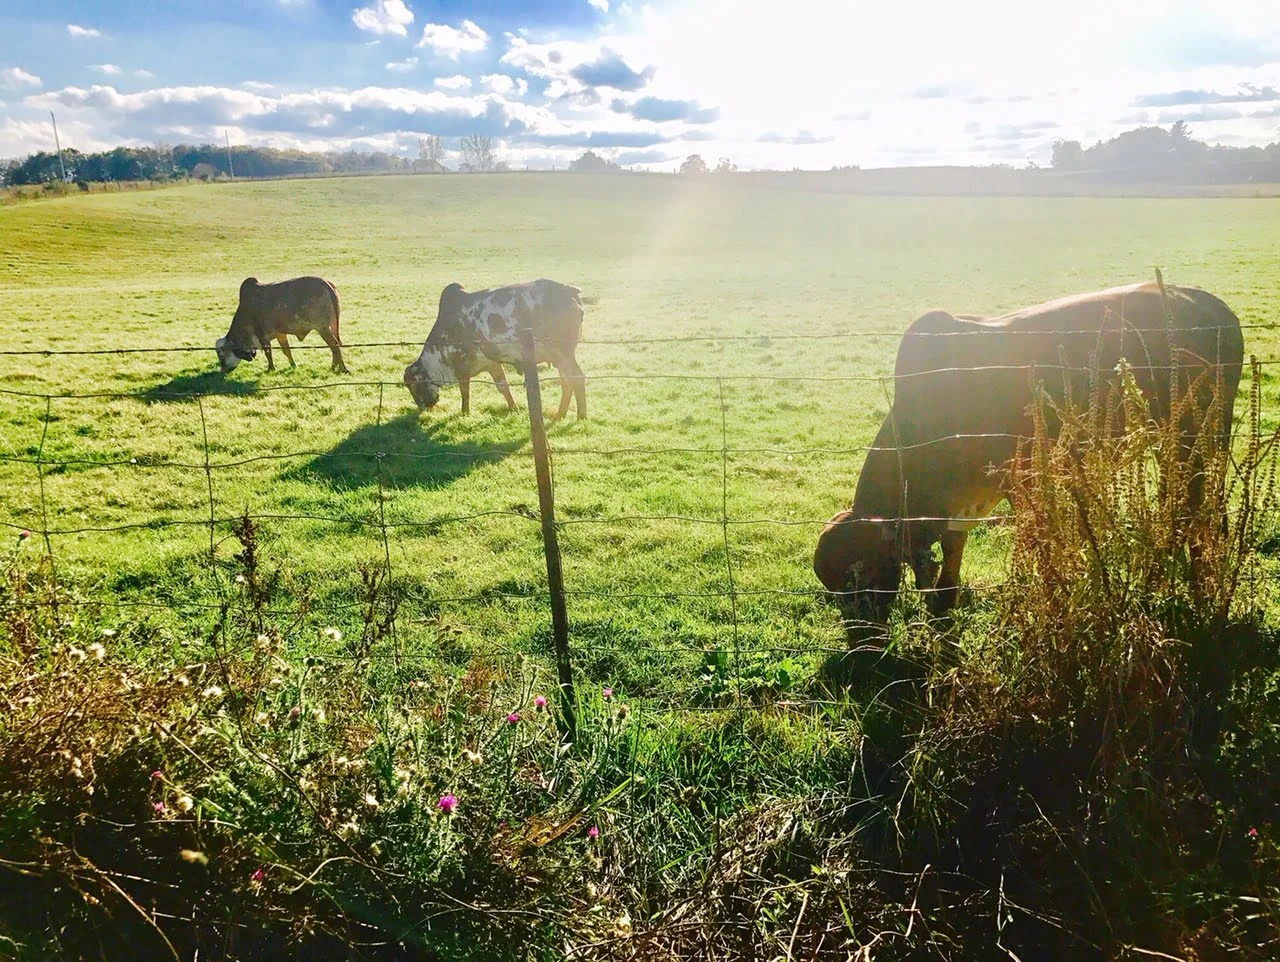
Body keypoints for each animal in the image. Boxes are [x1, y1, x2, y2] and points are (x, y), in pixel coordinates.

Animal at [215, 276, 347, 374]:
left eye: (221, 355)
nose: (222, 371)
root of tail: (326, 283)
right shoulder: (280, 334)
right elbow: (286, 351)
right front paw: (293, 365)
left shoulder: (262, 335)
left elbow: (268, 353)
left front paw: (271, 369)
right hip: (332, 326)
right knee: (337, 345)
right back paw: (333, 367)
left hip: (323, 328)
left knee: (335, 346)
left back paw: (343, 369)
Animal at [403, 278, 587, 419]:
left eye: (413, 386)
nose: (422, 408)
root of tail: (568, 290)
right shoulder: (491, 364)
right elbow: (503, 387)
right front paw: (514, 408)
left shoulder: (462, 368)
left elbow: (465, 392)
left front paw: (464, 413)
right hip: (560, 358)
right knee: (567, 382)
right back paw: (561, 414)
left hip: (563, 354)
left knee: (576, 378)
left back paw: (580, 416)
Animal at [813, 280, 1244, 619]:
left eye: (860, 576)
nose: (863, 646)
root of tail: (1215, 307)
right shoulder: (958, 507)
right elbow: (951, 559)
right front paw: (943, 608)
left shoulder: (1024, 483)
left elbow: (1040, 546)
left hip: (1198, 440)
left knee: (1202, 511)